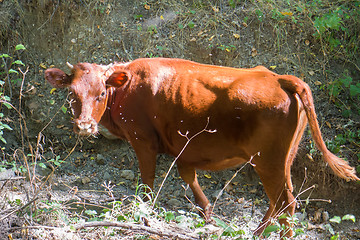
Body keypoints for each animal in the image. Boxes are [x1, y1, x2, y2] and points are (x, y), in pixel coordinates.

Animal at [43, 57, 358, 236]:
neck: (126, 88)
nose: (84, 126)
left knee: (286, 203)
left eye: (100, 93)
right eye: (72, 94)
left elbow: (147, 183)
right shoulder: (183, 150)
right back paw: (258, 231)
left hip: (267, 160)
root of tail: (280, 77)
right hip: (284, 158)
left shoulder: (143, 141)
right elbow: (188, 176)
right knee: (281, 200)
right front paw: (207, 213)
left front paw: (142, 216)